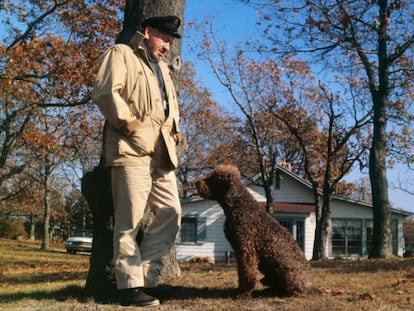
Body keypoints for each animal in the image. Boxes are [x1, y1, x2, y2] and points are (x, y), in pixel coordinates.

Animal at [196, 166, 312, 300]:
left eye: (215, 178)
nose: (196, 183)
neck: (239, 206)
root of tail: (308, 283)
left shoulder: (247, 249)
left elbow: (247, 273)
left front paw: (243, 293)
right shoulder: (239, 251)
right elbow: (241, 273)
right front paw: (239, 290)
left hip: (282, 268)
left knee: (293, 291)